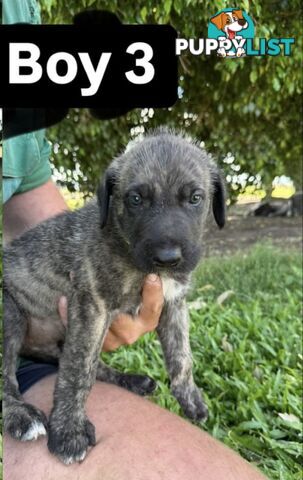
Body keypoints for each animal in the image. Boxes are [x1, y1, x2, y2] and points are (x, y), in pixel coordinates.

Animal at [2, 128, 226, 464]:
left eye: (195, 198)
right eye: (135, 199)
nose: (168, 258)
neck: (124, 244)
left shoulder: (173, 303)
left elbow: (182, 355)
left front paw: (189, 396)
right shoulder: (91, 306)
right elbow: (78, 369)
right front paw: (68, 431)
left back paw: (130, 380)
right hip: (10, 315)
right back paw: (20, 414)